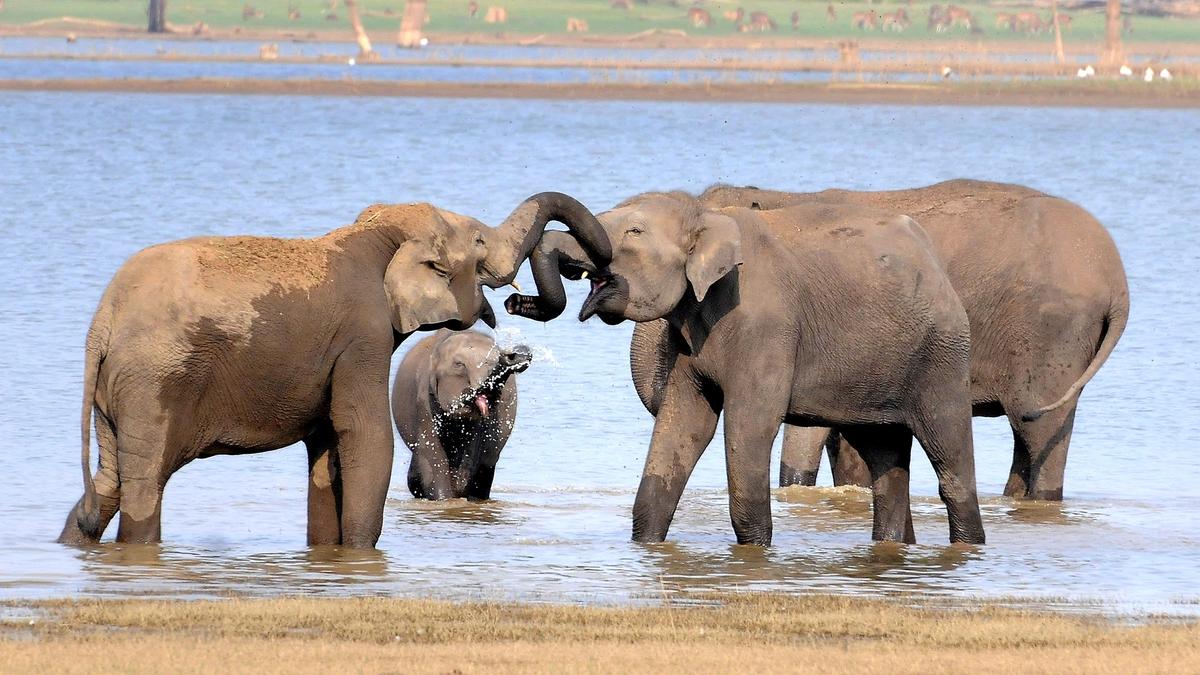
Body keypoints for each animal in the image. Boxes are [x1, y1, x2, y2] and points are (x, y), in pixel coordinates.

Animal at [506, 192, 985, 546]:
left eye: (634, 231)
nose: (513, 301)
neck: (708, 217)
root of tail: (935, 263)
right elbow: (684, 425)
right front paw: (647, 544)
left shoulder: (763, 326)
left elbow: (748, 425)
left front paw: (755, 550)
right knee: (886, 460)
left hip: (941, 355)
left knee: (949, 458)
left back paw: (968, 544)